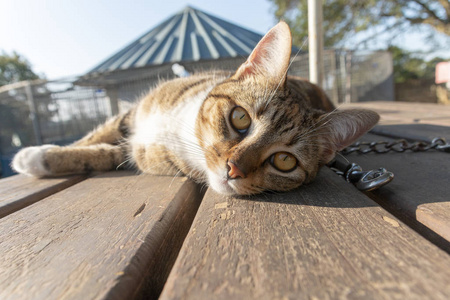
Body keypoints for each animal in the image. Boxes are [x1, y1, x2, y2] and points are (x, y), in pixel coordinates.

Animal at [10, 22, 378, 197]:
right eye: (240, 117)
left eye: (285, 161)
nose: (233, 169)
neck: (180, 127)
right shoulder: (133, 113)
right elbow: (96, 135)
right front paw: (44, 152)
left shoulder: (140, 153)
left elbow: (102, 155)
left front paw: (37, 158)